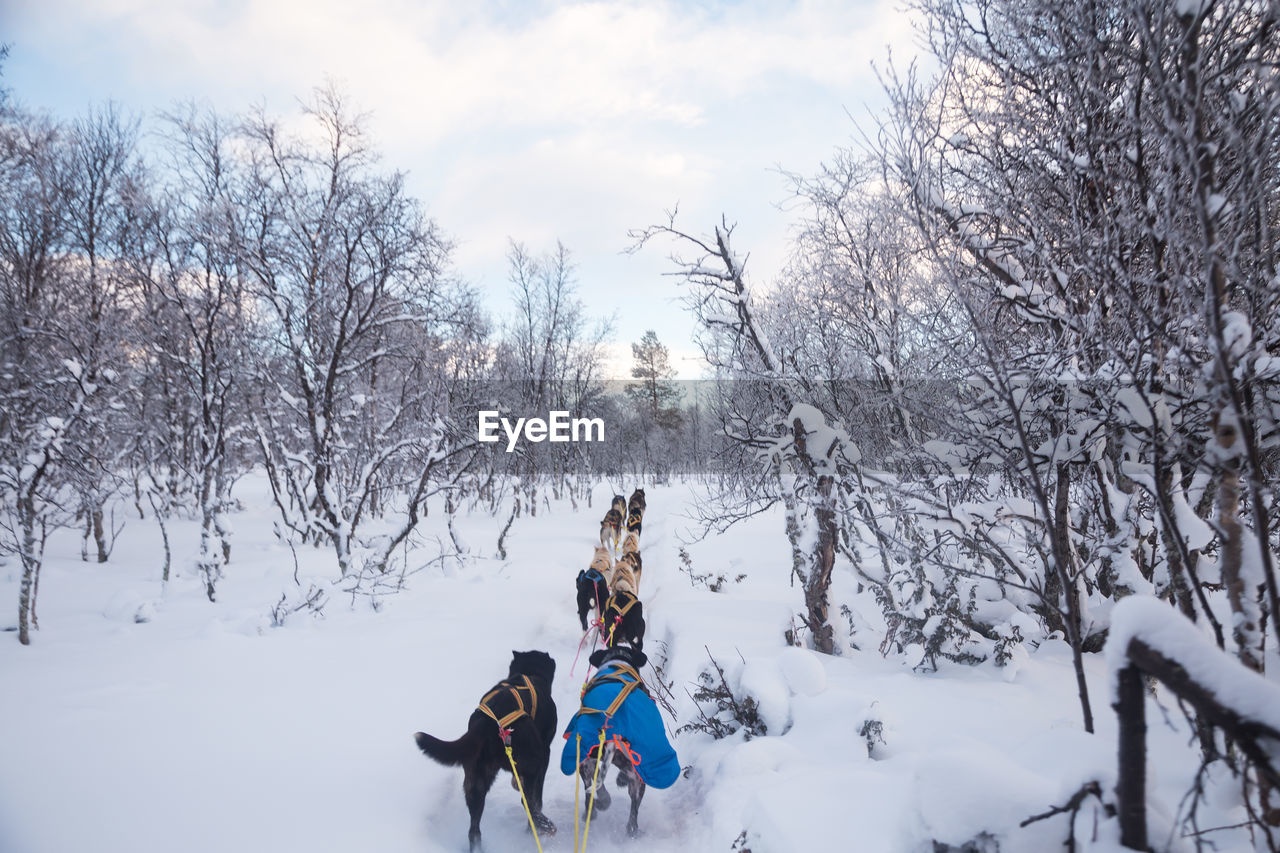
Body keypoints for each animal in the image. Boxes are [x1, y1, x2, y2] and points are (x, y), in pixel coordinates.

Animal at [417, 648, 558, 845]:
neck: (529, 673)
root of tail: (487, 722)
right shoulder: (545, 753)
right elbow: (537, 797)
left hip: (475, 780)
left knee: (474, 831)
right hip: (533, 762)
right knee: (529, 804)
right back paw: (541, 826)